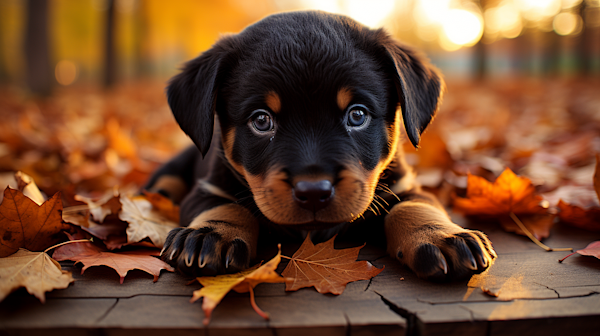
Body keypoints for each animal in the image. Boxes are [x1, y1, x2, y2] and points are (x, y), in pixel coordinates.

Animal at [150, 10, 496, 282]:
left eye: (357, 115)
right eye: (261, 120)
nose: (314, 191)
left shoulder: (405, 185)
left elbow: (416, 206)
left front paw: (441, 235)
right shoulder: (208, 188)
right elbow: (225, 206)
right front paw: (209, 235)